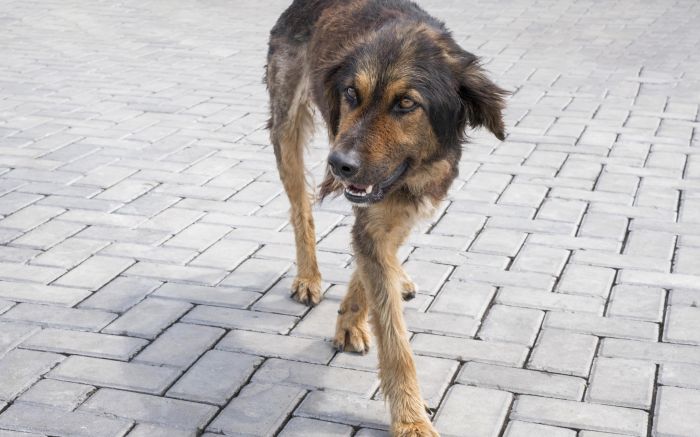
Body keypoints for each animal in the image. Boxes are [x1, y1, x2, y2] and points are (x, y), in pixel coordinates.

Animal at [266, 1, 506, 434]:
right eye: (351, 93)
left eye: (406, 104)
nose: (339, 164)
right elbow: (395, 342)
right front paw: (411, 421)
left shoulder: (406, 203)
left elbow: (372, 266)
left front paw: (351, 317)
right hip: (288, 126)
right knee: (300, 209)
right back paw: (308, 276)